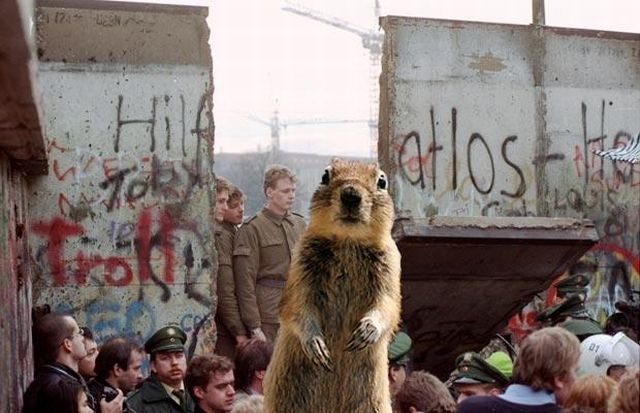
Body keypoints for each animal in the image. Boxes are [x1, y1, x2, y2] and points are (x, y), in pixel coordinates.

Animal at [263, 159, 401, 413]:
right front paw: (317, 346)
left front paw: (366, 332)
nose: (351, 194)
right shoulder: (302, 264)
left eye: (382, 181)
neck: (348, 240)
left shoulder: (390, 266)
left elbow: (387, 304)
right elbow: (297, 306)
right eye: (325, 176)